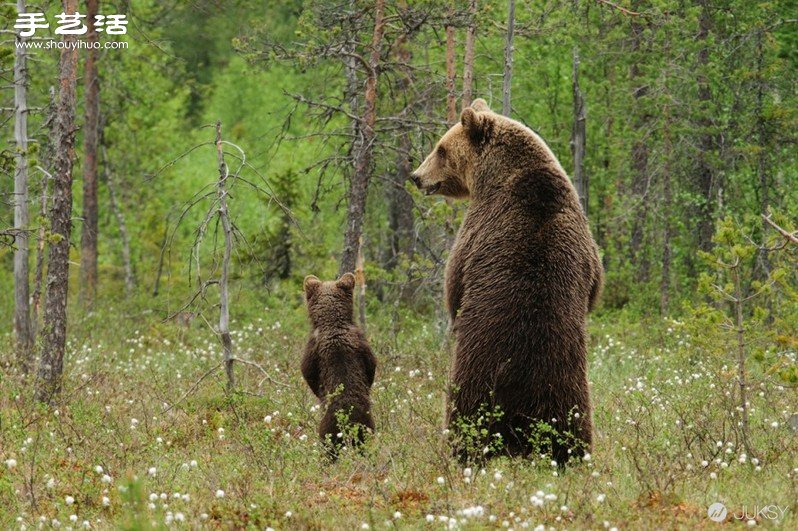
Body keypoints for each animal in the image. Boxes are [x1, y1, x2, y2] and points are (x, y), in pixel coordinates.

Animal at [304, 272, 378, 460]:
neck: (332, 323)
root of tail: (349, 422)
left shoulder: (312, 348)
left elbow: (308, 373)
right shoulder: (362, 343)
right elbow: (371, 365)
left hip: (327, 429)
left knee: (329, 448)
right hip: (366, 427)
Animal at [412, 100, 608, 466]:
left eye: (440, 149)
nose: (416, 176)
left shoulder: (477, 227)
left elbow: (454, 282)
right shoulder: (586, 244)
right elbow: (595, 285)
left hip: (477, 377)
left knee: (466, 418)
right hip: (567, 386)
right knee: (573, 426)